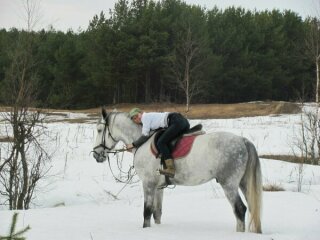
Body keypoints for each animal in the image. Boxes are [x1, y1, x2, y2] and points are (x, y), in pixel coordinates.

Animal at [92, 109, 262, 233]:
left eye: (99, 130)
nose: (96, 155)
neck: (143, 142)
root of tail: (243, 141)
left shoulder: (148, 184)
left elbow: (147, 212)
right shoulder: (158, 187)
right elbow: (157, 213)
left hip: (229, 184)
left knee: (240, 210)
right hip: (243, 183)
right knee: (251, 207)